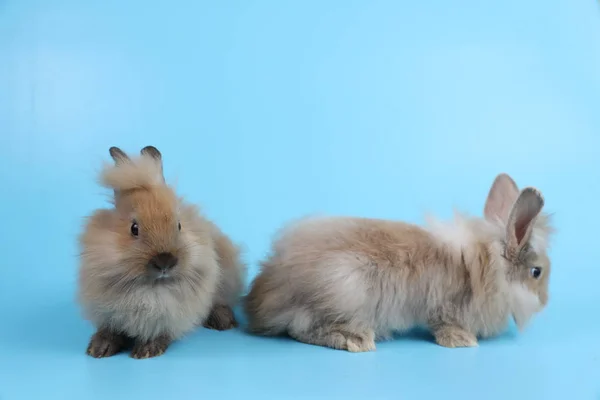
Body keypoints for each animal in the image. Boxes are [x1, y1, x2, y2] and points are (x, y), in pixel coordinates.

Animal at [78, 146, 245, 360]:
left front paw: (147, 350)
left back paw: (224, 322)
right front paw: (98, 349)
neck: (149, 288)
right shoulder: (107, 312)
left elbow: (161, 333)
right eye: (134, 228)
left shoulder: (172, 316)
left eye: (179, 225)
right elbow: (110, 331)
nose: (165, 261)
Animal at [246, 173, 556, 352]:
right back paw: (354, 339)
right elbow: (444, 326)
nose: (544, 303)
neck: (490, 266)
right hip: (344, 289)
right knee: (299, 329)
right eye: (536, 272)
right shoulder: (444, 309)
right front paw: (462, 340)